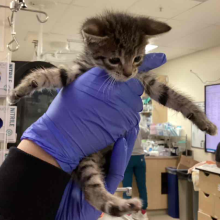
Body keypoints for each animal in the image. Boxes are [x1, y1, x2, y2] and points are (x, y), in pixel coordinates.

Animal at [7, 11, 218, 216]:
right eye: (114, 59)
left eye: (137, 58)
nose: (128, 73)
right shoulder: (78, 72)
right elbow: (53, 74)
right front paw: (21, 88)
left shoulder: (145, 79)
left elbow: (171, 96)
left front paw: (205, 121)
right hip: (85, 160)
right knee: (91, 190)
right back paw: (121, 205)